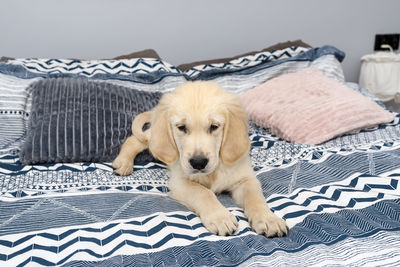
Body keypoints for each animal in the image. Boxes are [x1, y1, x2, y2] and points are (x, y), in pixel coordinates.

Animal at [112, 80, 288, 238]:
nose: (198, 162)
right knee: (136, 139)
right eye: (182, 127)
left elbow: (255, 197)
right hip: (156, 139)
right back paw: (123, 163)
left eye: (214, 126)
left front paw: (268, 219)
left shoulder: (245, 179)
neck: (213, 172)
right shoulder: (179, 182)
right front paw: (220, 217)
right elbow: (203, 192)